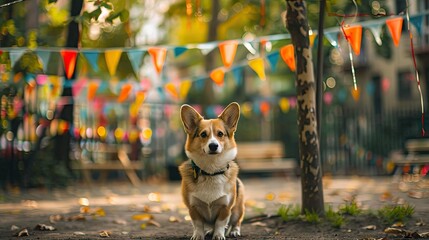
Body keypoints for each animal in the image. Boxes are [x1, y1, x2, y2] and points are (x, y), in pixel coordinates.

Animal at [178, 102, 244, 239]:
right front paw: (198, 235)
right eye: (203, 134)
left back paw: (234, 231)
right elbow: (198, 224)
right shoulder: (193, 207)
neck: (211, 171)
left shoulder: (225, 207)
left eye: (220, 134)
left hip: (238, 208)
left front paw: (218, 235)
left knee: (236, 221)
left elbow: (220, 223)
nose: (213, 146)